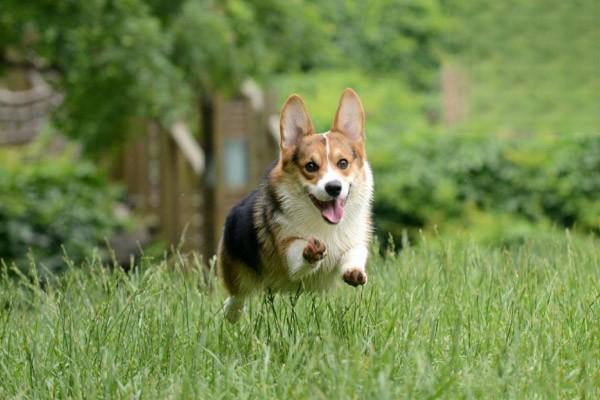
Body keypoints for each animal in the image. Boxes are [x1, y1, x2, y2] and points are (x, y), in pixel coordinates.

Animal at [218, 88, 372, 322]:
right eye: (311, 166)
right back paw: (232, 314)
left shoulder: (354, 240)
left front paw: (354, 272)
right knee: (237, 295)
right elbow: (297, 254)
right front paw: (311, 251)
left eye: (343, 163)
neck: (324, 225)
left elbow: (354, 252)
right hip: (237, 269)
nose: (334, 187)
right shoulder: (286, 250)